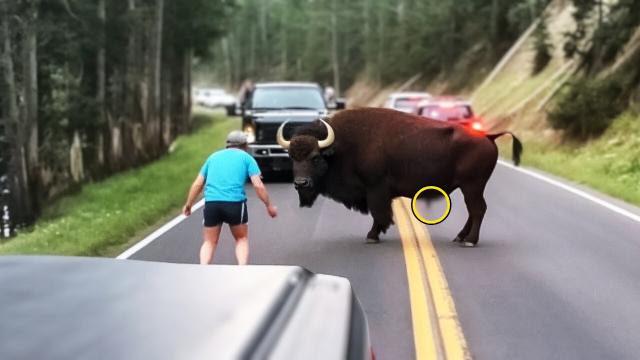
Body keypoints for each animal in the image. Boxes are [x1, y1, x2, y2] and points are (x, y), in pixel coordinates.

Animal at [276, 107, 520, 248]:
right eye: (291, 157)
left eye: (316, 157)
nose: (300, 183)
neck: (342, 146)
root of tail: (488, 136)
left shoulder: (375, 189)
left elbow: (379, 214)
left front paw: (372, 236)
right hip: (470, 187)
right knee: (474, 210)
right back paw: (460, 238)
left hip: (472, 186)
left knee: (478, 209)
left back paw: (469, 241)